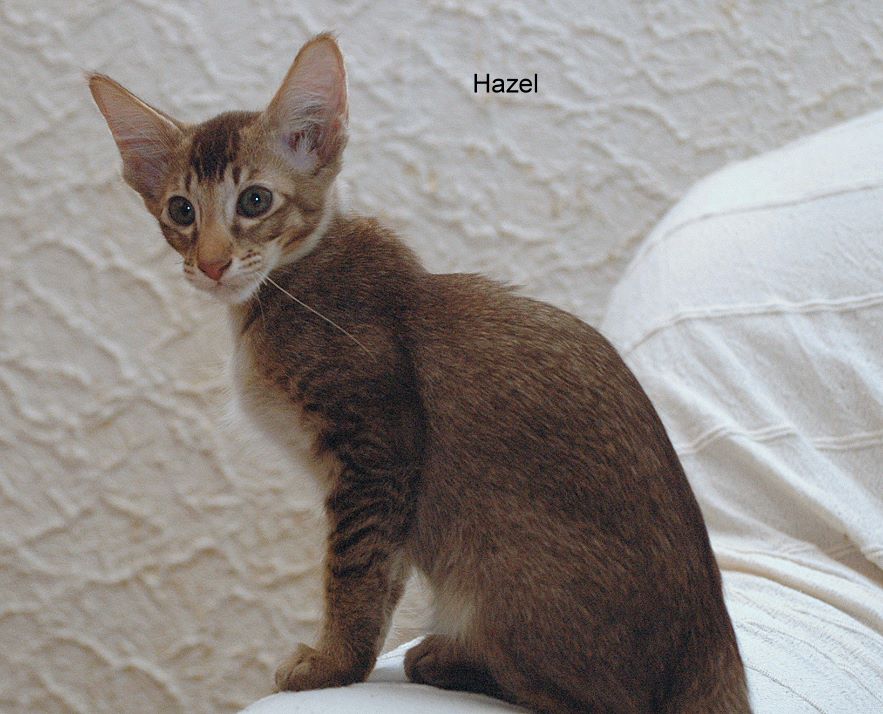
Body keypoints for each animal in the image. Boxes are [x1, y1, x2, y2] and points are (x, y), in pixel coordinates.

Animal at [89, 33, 750, 714]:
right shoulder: (390, 492)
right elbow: (384, 574)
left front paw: (331, 666)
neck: (289, 282)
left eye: (254, 200)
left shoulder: (376, 452)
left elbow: (352, 574)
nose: (213, 263)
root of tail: (712, 648)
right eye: (181, 210)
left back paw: (451, 657)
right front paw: (348, 658)